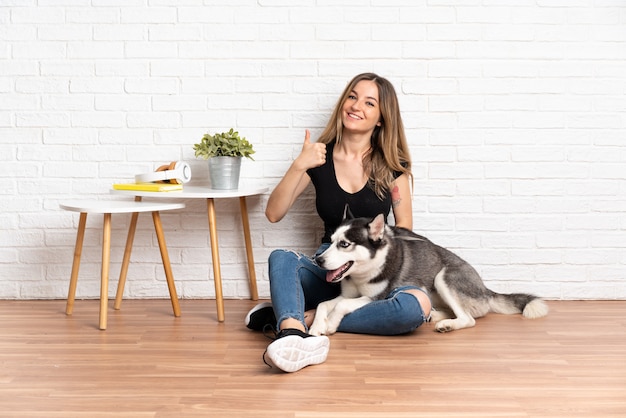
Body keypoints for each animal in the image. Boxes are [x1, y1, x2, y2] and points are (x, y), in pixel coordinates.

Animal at [308, 211, 544, 334]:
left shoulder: (376, 298)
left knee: (469, 318)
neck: (363, 273)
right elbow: (323, 304)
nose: (318, 260)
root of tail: (485, 289)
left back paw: (447, 324)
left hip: (444, 277)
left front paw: (331, 324)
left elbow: (342, 305)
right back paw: (435, 315)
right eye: (331, 241)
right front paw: (317, 326)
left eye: (344, 244)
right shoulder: (347, 294)